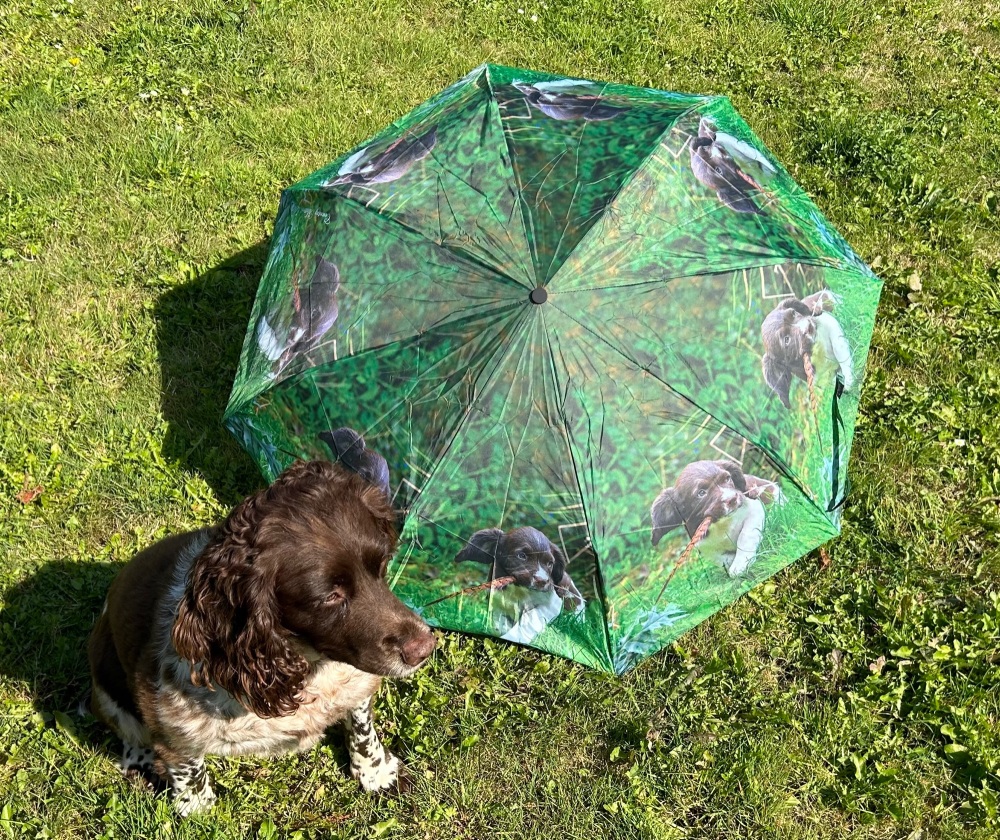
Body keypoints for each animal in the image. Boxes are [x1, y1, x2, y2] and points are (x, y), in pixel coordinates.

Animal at [83, 460, 434, 812]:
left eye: (383, 565)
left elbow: (362, 728)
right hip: (104, 679)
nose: (424, 648)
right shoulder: (170, 725)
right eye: (330, 596)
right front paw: (197, 808)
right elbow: (189, 774)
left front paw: (378, 774)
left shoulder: (357, 684)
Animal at [456, 528, 584, 648]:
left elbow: (530, 617)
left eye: (550, 563)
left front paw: (512, 637)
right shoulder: (496, 601)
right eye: (522, 556)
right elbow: (498, 622)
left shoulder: (553, 604)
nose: (542, 581)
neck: (517, 589)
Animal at [648, 460, 780, 576]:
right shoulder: (701, 543)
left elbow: (745, 536)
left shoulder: (754, 510)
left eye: (727, 478)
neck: (721, 523)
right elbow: (719, 558)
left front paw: (740, 564)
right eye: (701, 493)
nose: (732, 499)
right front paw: (731, 562)